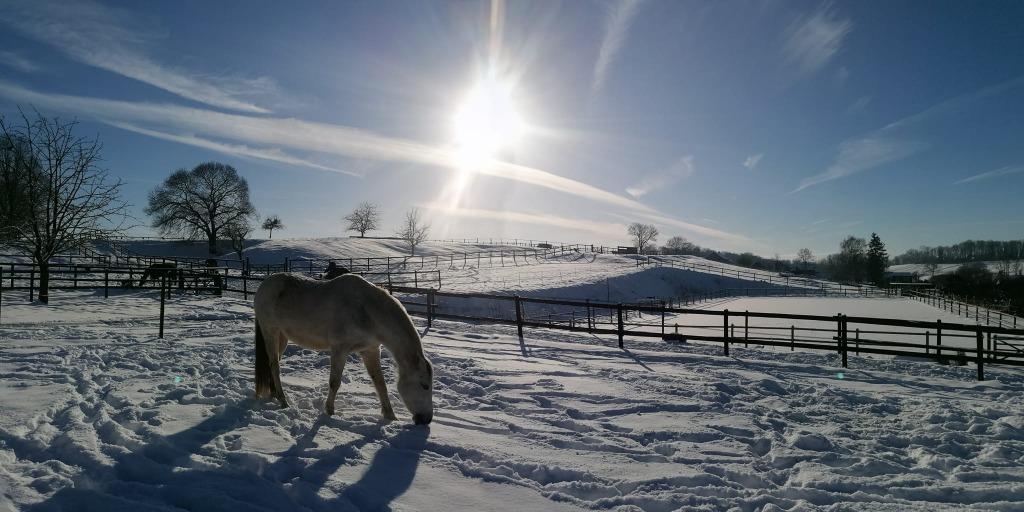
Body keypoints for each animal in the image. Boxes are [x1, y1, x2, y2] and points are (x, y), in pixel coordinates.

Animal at [253, 273, 433, 424]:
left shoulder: (370, 350)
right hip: (270, 331)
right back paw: (283, 401)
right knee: (274, 366)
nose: (427, 419)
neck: (367, 310)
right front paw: (329, 411)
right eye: (424, 385)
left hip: (282, 337)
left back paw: (274, 394)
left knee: (272, 363)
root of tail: (264, 286)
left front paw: (390, 416)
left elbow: (380, 383)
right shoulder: (340, 349)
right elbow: (335, 382)